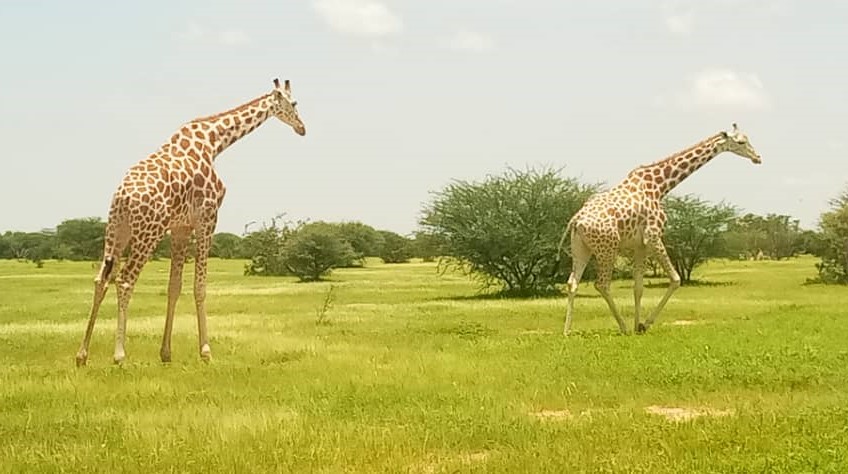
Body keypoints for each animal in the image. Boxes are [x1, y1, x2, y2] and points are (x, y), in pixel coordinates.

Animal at [75, 78, 308, 366]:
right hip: (148, 232)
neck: (213, 141)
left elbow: (174, 286)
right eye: (294, 103)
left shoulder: (180, 227)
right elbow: (200, 287)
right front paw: (206, 351)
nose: (302, 128)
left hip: (117, 229)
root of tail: (124, 197)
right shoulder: (208, 218)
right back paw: (119, 355)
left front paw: (166, 353)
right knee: (125, 280)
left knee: (101, 279)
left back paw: (82, 354)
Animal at [564, 124, 760, 336]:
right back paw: (623, 327)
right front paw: (644, 324)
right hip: (607, 248)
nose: (757, 157)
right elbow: (675, 279)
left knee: (572, 282)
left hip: (581, 248)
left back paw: (567, 331)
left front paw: (638, 325)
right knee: (602, 284)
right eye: (741, 142)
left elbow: (638, 287)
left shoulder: (639, 245)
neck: (660, 186)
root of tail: (576, 221)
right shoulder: (653, 236)